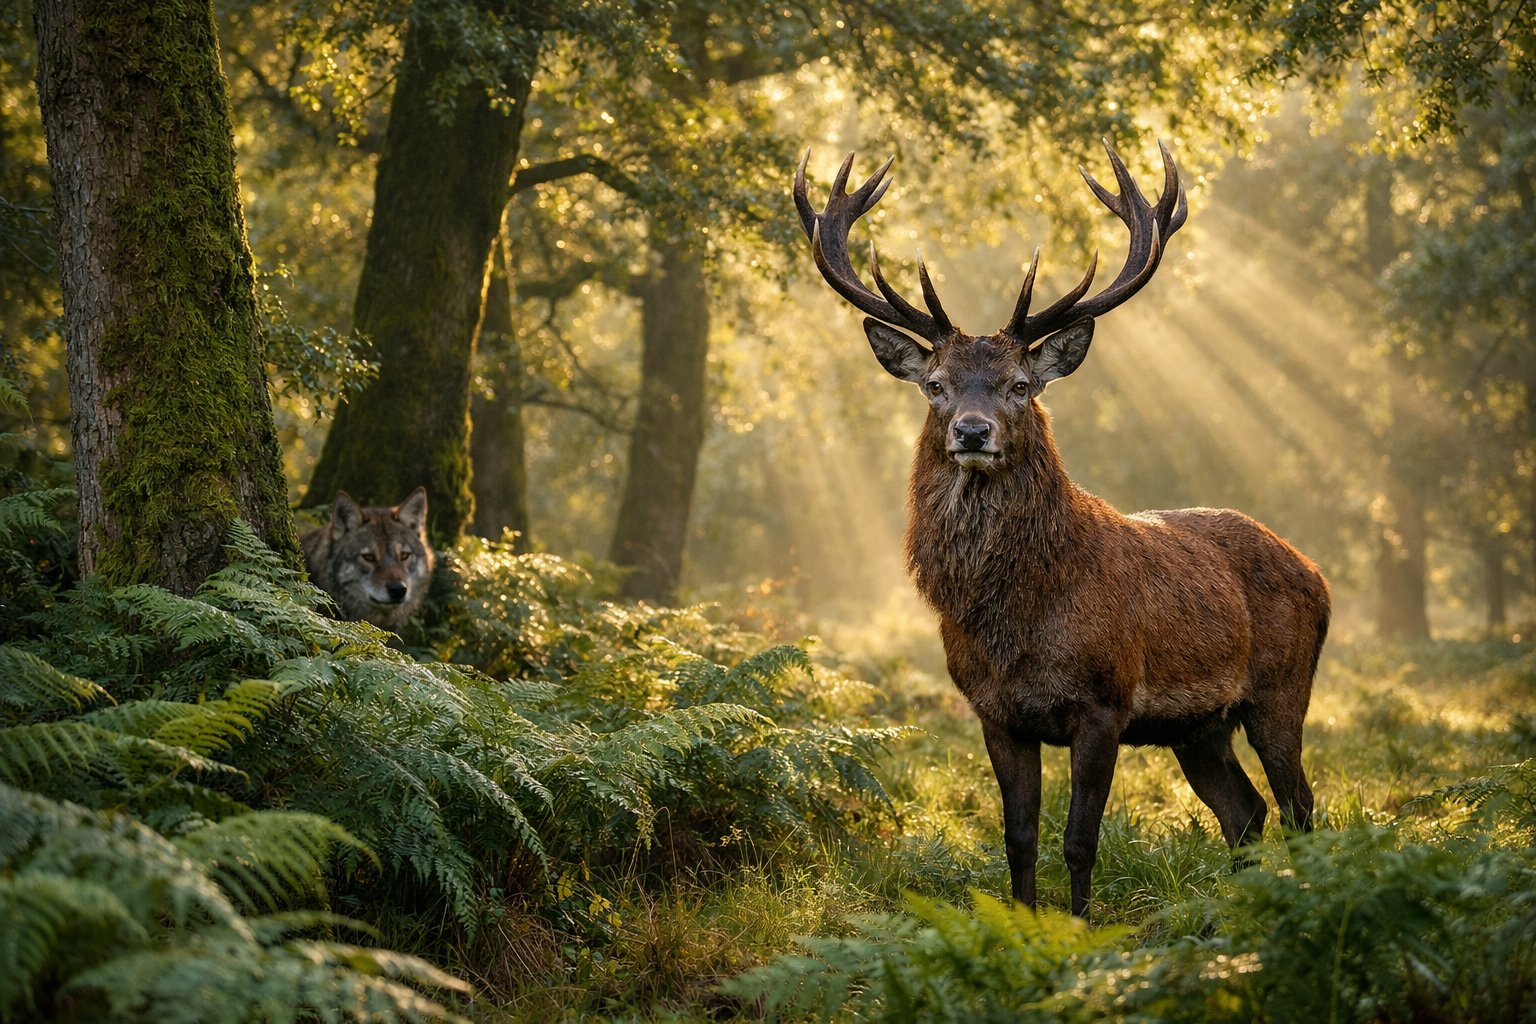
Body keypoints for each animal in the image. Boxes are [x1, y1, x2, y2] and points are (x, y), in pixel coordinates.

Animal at [793, 141, 1331, 918]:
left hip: (1282, 689)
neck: (1018, 619)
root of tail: (1317, 575)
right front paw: (1022, 921)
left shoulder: (1102, 704)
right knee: (1246, 813)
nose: (973, 431)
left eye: (1020, 384)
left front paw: (1079, 929)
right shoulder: (994, 712)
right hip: (1198, 728)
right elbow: (1018, 837)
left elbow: (1080, 840)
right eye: (935, 385)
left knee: (1300, 806)